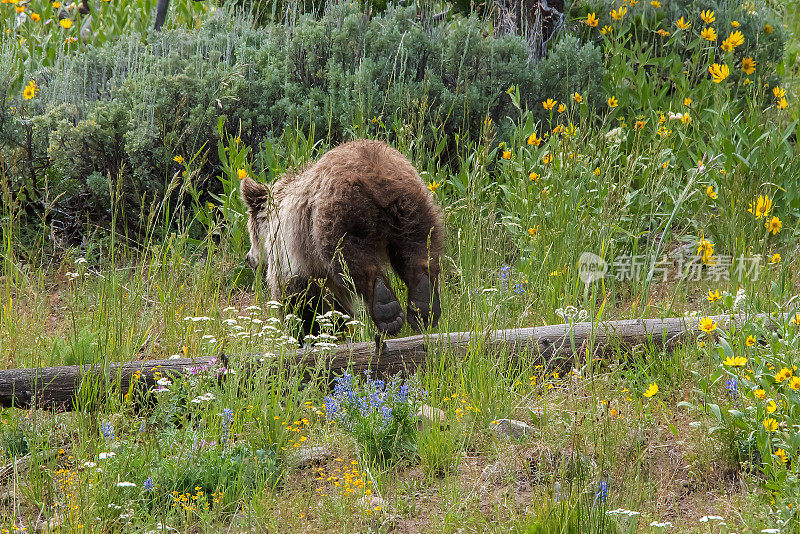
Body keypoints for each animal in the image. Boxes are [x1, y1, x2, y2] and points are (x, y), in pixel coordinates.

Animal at [241, 140, 446, 338]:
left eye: (250, 233)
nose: (248, 258)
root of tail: (377, 180)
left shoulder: (289, 252)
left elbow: (298, 296)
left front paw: (305, 330)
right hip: (413, 209)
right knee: (418, 250)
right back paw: (423, 305)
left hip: (338, 219)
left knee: (352, 262)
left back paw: (387, 311)